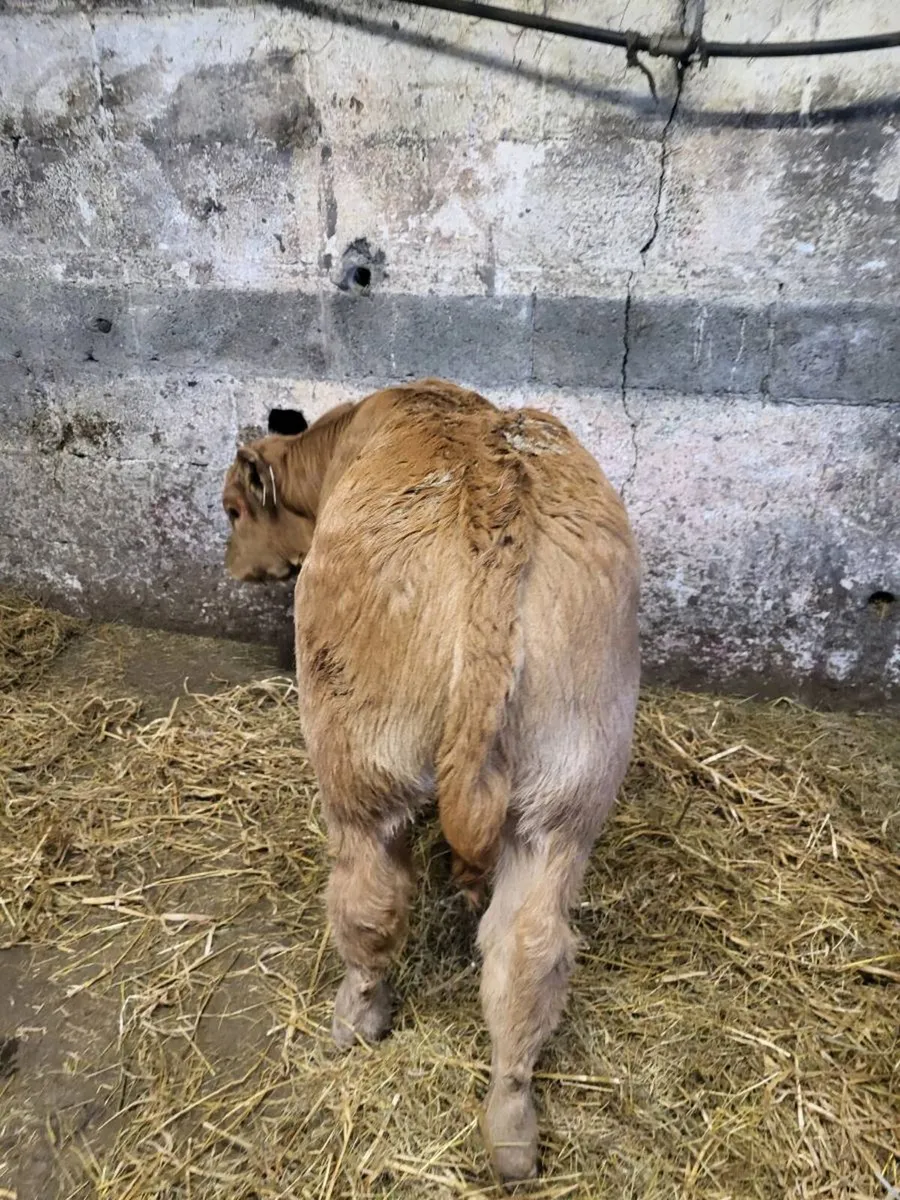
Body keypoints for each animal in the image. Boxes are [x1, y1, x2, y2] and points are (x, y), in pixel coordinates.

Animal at [223, 379, 640, 1182]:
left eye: (233, 510)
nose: (232, 566)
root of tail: (496, 504)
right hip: (567, 791)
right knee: (527, 951)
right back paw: (511, 1129)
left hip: (357, 762)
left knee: (369, 900)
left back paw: (357, 1016)